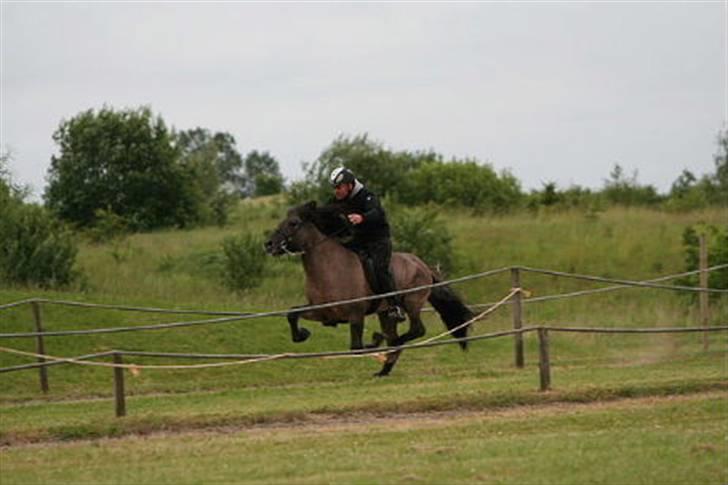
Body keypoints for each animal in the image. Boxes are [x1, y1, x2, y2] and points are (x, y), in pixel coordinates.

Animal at [264, 199, 474, 374]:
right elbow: (293, 313)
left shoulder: (355, 314)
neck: (329, 268)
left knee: (415, 331)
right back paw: (384, 370)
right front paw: (302, 334)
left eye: (293, 223)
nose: (269, 245)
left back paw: (390, 347)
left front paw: (374, 340)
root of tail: (421, 264)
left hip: (412, 302)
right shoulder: (323, 311)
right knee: (396, 336)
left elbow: (356, 348)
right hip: (386, 313)